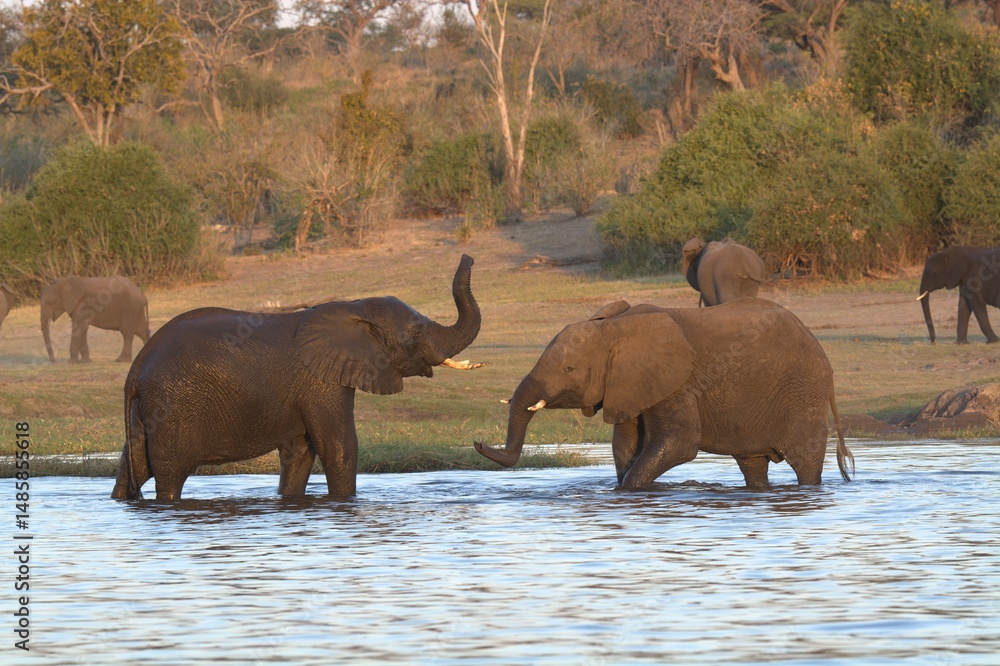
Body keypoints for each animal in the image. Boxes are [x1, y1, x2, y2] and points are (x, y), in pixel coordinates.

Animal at [111, 254, 483, 501]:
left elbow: (300, 453)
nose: (468, 256)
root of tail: (135, 372)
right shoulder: (322, 382)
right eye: (416, 333)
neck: (355, 307)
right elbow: (338, 447)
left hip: (149, 410)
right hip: (173, 406)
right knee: (170, 474)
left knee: (134, 467)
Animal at [475, 298, 853, 489]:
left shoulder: (676, 382)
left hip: (803, 392)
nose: (478, 443)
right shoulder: (629, 384)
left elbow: (678, 443)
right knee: (752, 464)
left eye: (568, 369)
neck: (614, 328)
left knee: (804, 461)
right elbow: (625, 445)